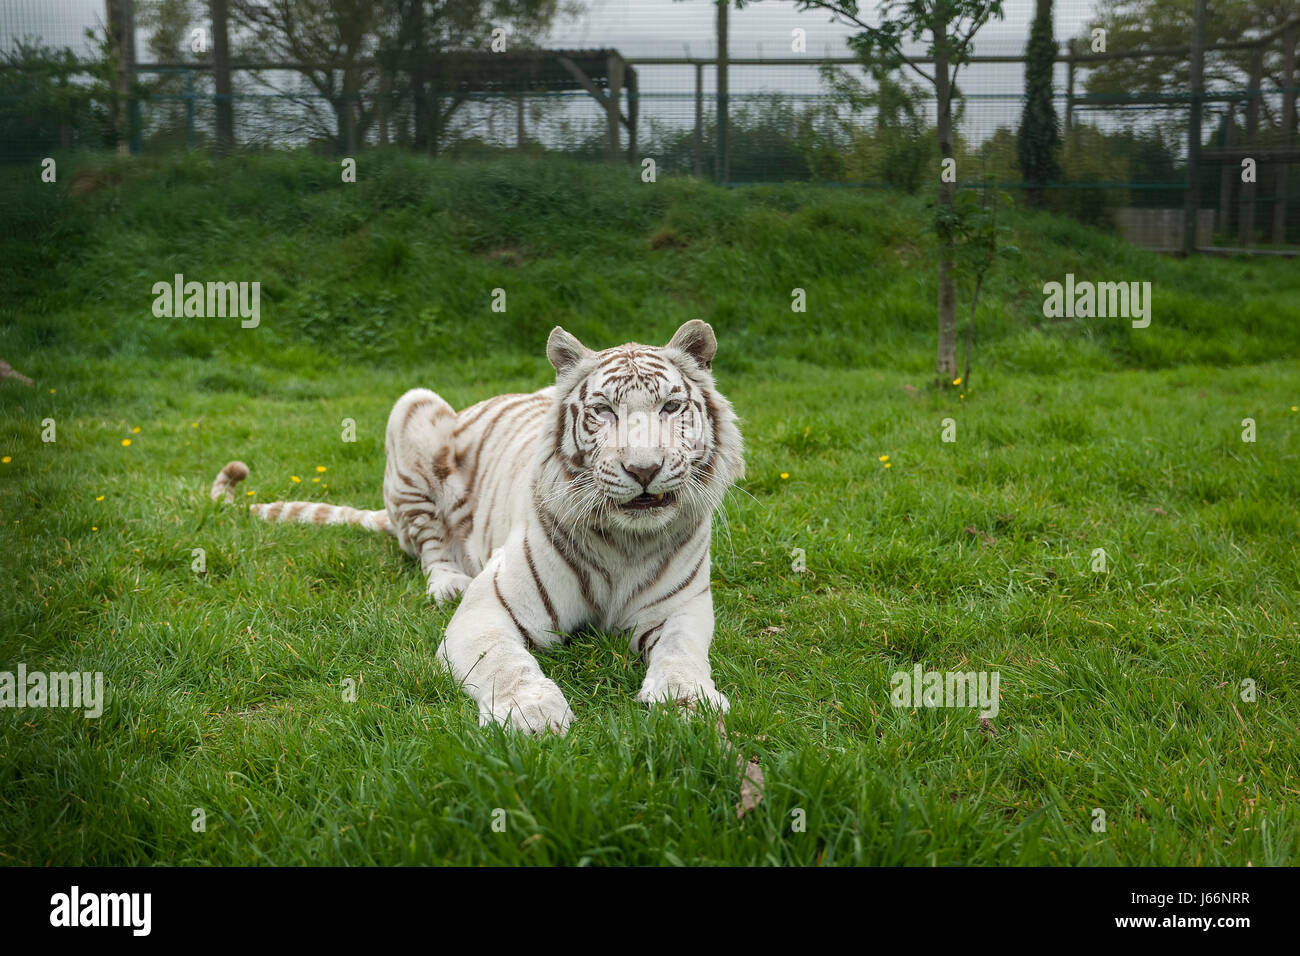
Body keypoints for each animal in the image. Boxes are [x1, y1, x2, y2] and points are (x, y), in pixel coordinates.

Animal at [210, 320, 745, 734]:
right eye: (603, 410)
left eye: (670, 407)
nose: (643, 469)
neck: (625, 541)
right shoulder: (491, 608)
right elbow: (505, 664)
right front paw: (531, 714)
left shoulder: (682, 610)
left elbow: (681, 653)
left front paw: (687, 698)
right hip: (413, 412)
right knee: (429, 545)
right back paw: (448, 582)